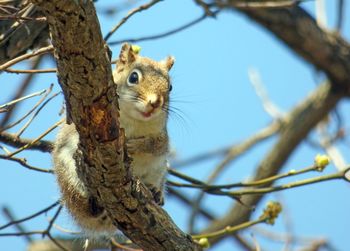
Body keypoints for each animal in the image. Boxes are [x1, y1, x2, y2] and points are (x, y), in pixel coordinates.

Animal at [53, 43, 175, 233]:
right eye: (133, 77)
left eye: (170, 87)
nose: (155, 103)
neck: (135, 120)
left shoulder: (162, 136)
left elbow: (156, 146)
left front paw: (135, 146)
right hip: (69, 174)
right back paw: (93, 204)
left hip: (160, 168)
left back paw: (156, 192)